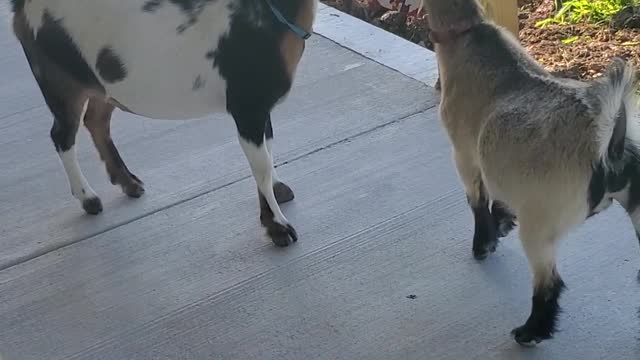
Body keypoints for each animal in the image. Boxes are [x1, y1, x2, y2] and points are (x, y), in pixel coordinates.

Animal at [5, 0, 316, 246]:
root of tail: (21, 6)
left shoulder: (261, 108)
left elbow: (268, 148)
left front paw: (279, 189)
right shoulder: (247, 105)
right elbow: (260, 165)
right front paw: (278, 227)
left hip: (103, 83)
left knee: (96, 120)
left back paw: (128, 182)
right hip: (58, 78)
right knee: (62, 135)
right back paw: (88, 198)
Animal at [422, 0, 636, 346]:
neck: (467, 36)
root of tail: (609, 150)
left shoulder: (464, 152)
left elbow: (476, 200)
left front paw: (483, 245)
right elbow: (500, 195)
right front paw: (502, 223)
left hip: (542, 224)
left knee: (549, 281)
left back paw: (530, 331)